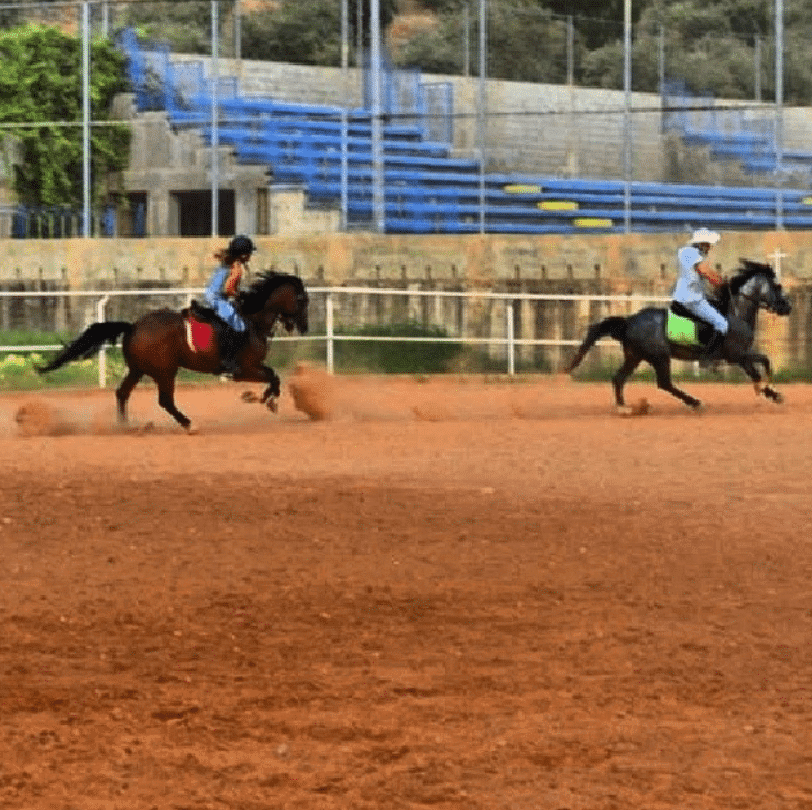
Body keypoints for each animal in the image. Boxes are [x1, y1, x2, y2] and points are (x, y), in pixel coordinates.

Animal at [35, 272, 308, 432]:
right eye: (302, 300)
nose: (304, 327)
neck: (252, 321)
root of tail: (133, 326)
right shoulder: (244, 369)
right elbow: (274, 377)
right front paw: (263, 399)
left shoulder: (251, 368)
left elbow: (274, 377)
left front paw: (263, 399)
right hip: (165, 371)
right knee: (165, 400)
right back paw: (187, 423)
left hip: (138, 369)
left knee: (122, 393)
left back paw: (125, 425)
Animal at [568, 258, 788, 410]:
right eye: (777, 286)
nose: (788, 307)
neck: (735, 313)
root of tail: (629, 321)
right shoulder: (736, 355)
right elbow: (764, 361)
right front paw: (767, 386)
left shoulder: (741, 356)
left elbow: (756, 371)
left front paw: (772, 393)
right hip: (659, 357)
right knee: (664, 383)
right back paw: (694, 402)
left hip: (635, 356)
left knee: (619, 379)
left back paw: (623, 407)